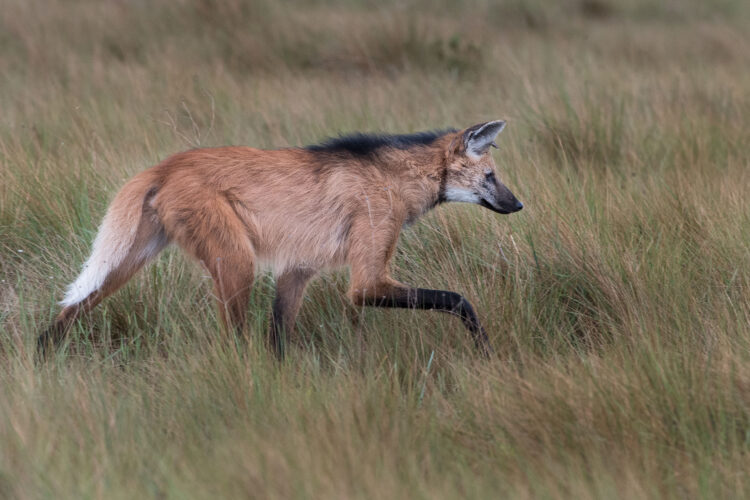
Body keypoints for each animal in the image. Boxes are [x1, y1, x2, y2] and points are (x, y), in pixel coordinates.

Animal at [39, 119, 524, 358]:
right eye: (491, 177)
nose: (518, 205)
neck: (398, 179)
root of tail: (164, 165)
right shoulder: (366, 281)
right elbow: (457, 299)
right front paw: (484, 349)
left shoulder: (297, 270)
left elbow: (280, 340)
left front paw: (281, 388)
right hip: (237, 262)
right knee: (233, 339)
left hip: (128, 260)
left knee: (68, 312)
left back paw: (40, 362)